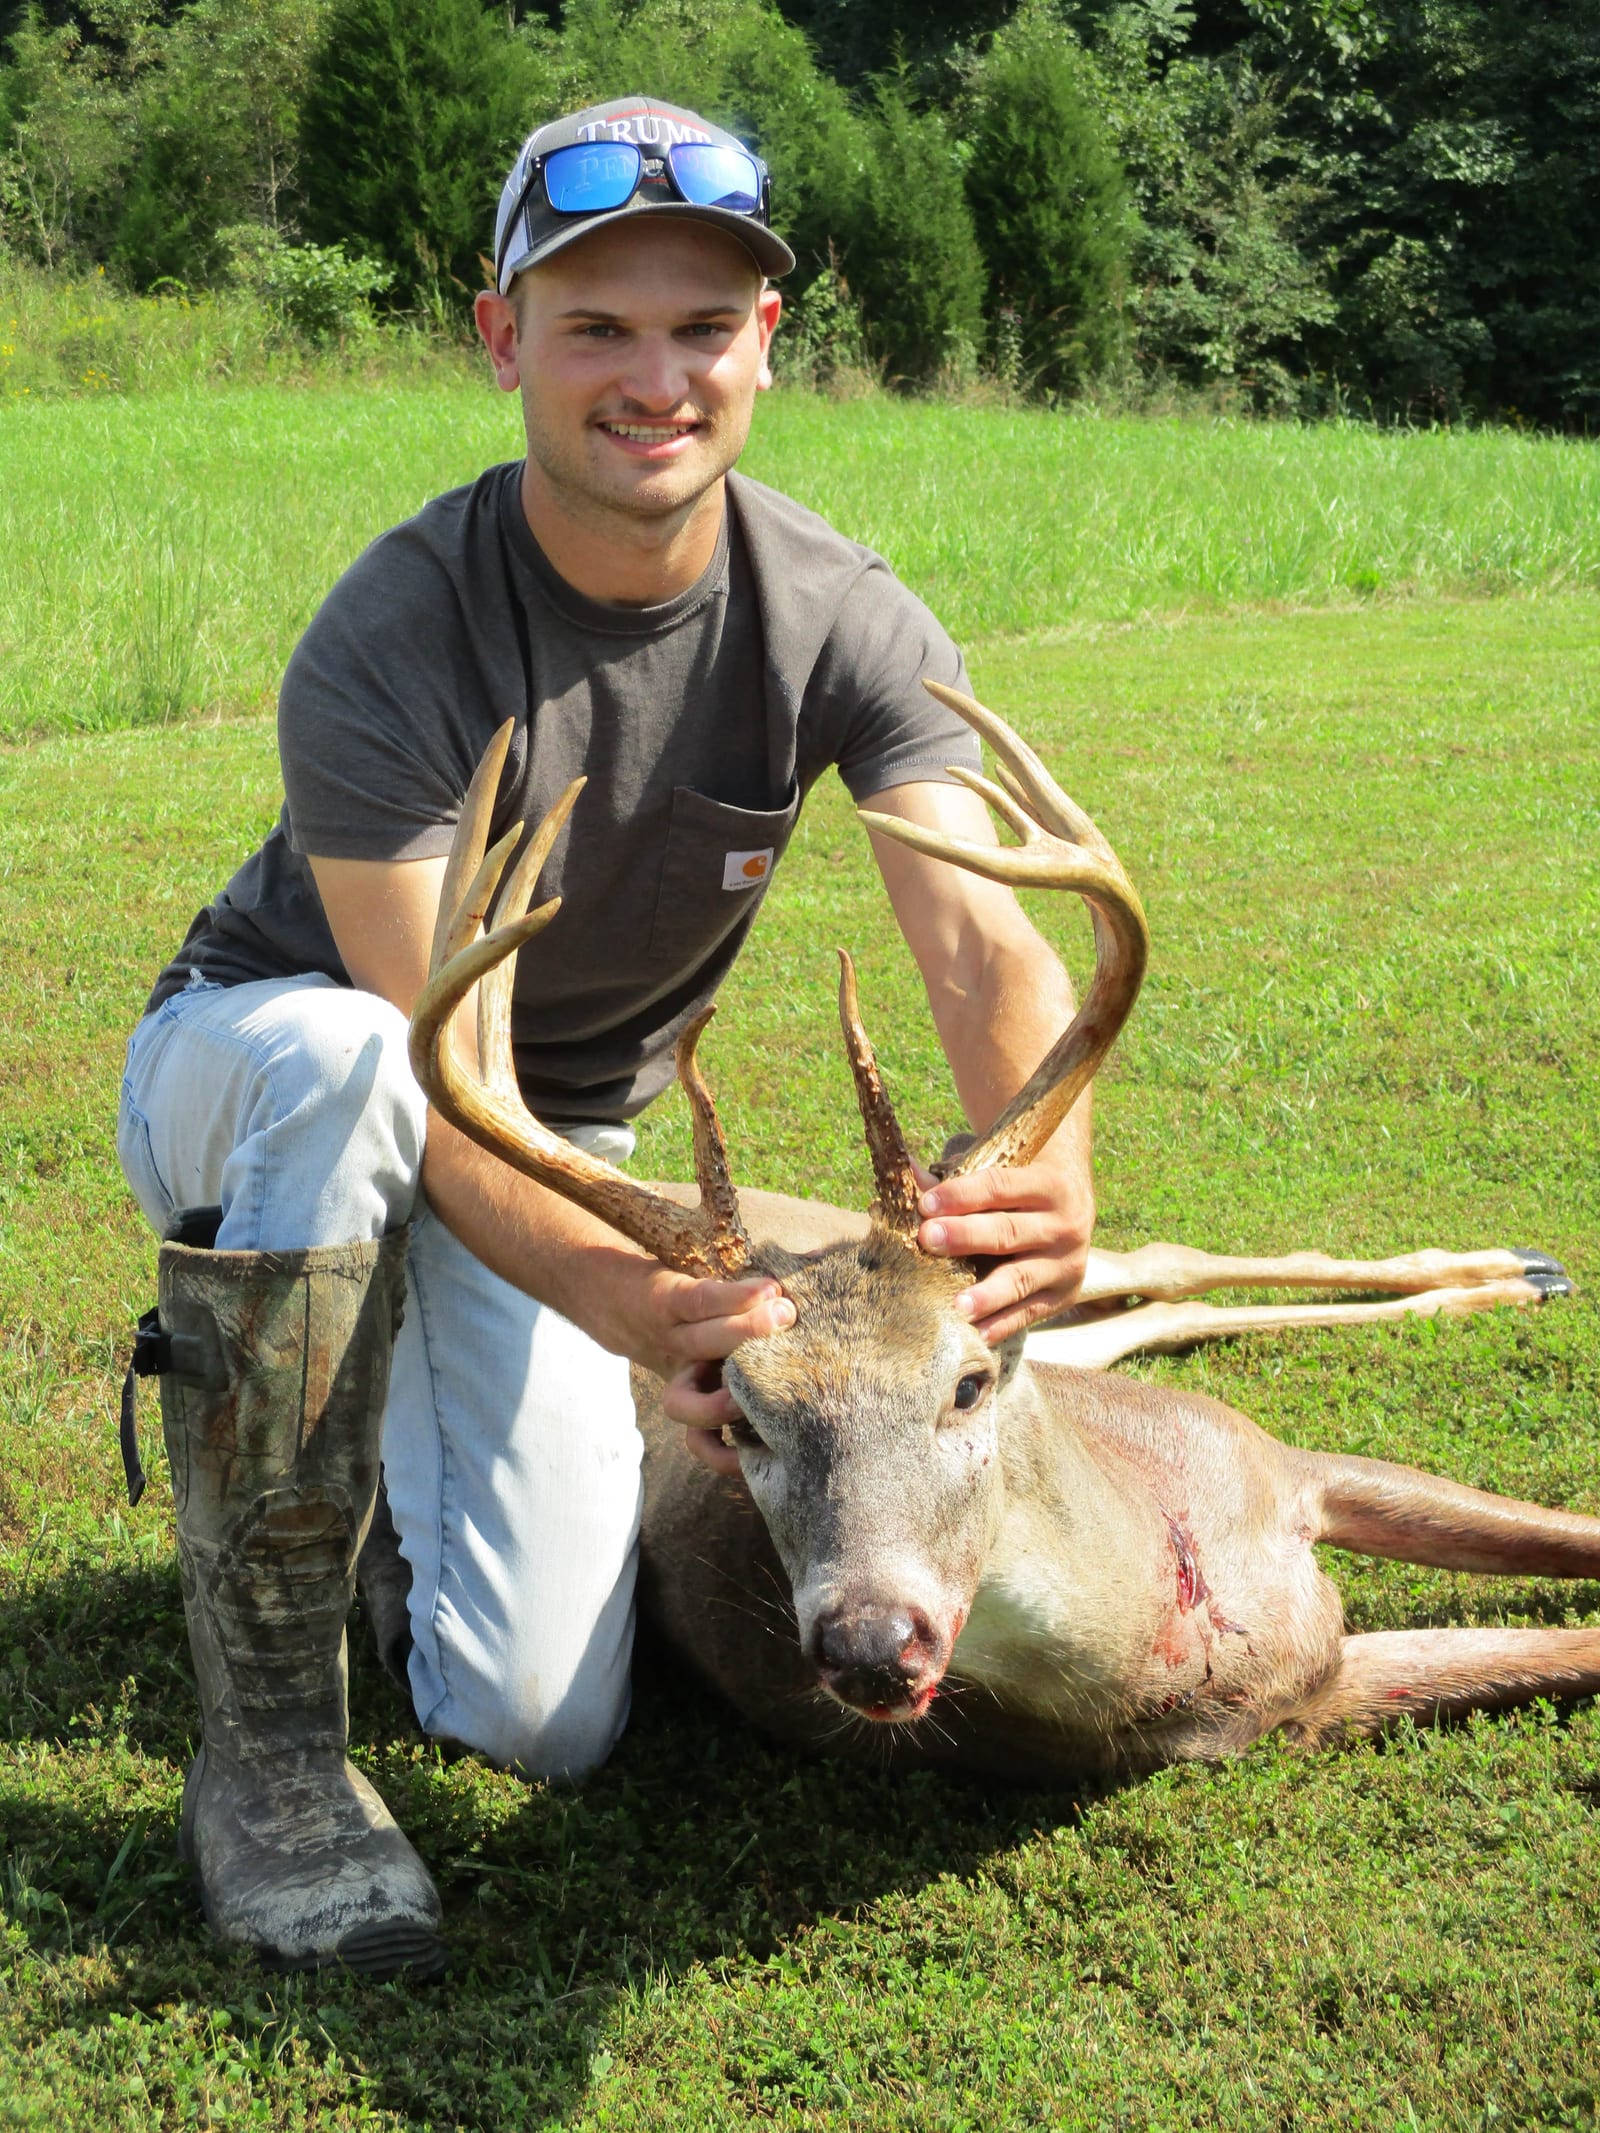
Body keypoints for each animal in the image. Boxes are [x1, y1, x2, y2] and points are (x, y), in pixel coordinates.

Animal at [407, 689, 1597, 1781]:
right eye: (739, 1421)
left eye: (968, 1385)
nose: (871, 1643)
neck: (1179, 1622)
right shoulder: (1301, 1707)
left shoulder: (1278, 1459)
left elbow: (1567, 1539)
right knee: (1148, 1305)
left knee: (1151, 1263)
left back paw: (1522, 1270)